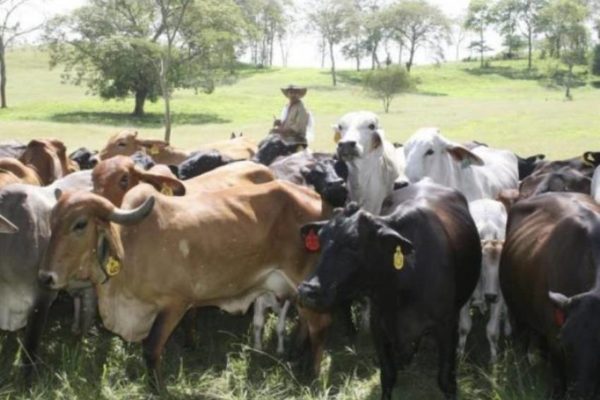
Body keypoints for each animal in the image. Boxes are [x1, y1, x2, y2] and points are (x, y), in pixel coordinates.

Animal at [39, 180, 330, 390]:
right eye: (51, 222)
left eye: (80, 224)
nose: (45, 277)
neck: (131, 246)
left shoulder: (175, 304)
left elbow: (151, 349)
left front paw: (159, 389)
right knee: (306, 324)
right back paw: (296, 357)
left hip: (307, 283)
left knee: (318, 328)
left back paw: (313, 376)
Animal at [298, 182, 480, 400]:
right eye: (321, 240)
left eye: (354, 244)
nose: (308, 290)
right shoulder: (378, 325)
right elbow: (388, 375)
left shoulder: (447, 326)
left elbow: (446, 380)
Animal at [460, 198, 510, 364]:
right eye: (481, 265)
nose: (490, 296)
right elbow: (464, 327)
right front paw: (459, 355)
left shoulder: (499, 297)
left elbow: (492, 331)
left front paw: (494, 362)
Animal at [500, 193, 600, 396]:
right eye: (565, 344)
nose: (580, 393)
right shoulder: (554, 341)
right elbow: (558, 381)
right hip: (517, 314)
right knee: (521, 342)